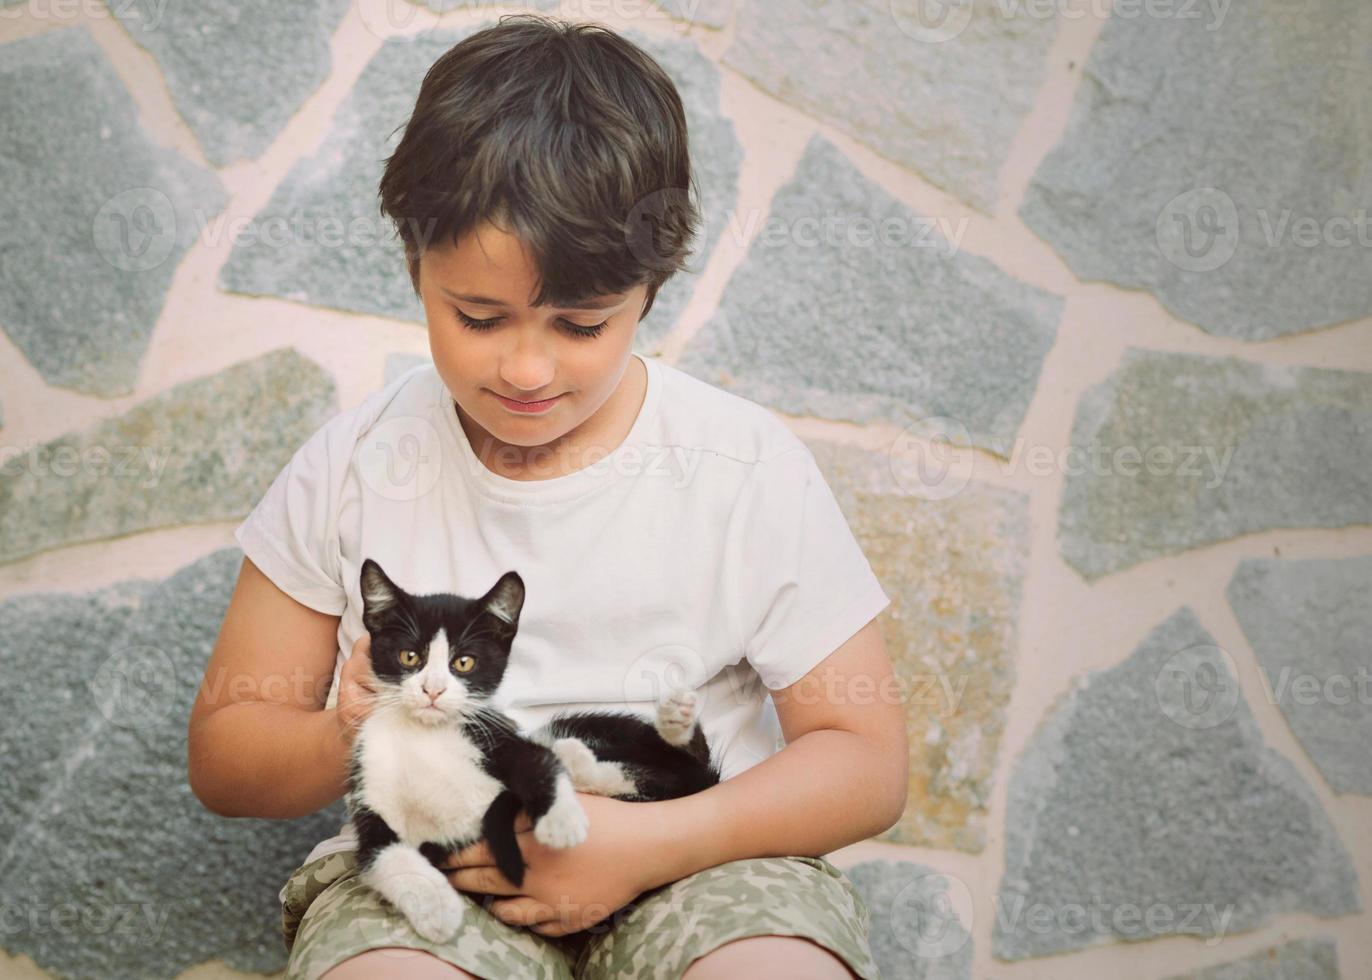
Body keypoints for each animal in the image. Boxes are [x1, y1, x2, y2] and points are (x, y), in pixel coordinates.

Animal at [348, 557, 724, 938]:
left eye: (463, 662)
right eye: (409, 657)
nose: (433, 690)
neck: (425, 735)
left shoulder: (498, 739)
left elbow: (536, 763)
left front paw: (561, 819)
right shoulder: (372, 794)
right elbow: (382, 855)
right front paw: (436, 908)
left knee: (677, 771)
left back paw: (671, 721)